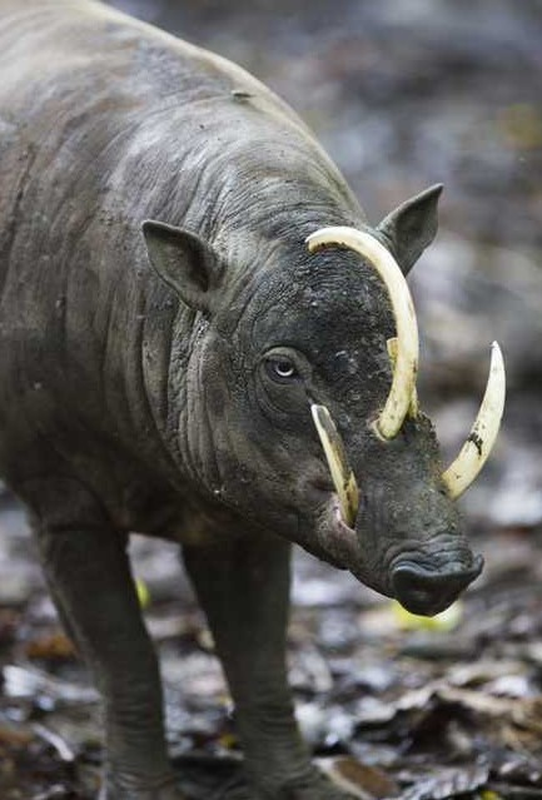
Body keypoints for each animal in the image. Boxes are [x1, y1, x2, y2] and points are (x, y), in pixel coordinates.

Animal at [0, 1, 508, 800]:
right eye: (282, 367)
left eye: (404, 346)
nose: (441, 572)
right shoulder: (56, 496)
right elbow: (125, 657)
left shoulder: (251, 506)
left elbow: (259, 655)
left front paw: (305, 788)